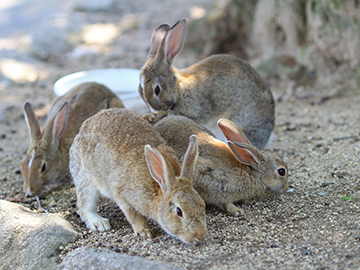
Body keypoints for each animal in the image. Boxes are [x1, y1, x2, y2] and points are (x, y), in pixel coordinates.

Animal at [69, 108, 207, 245]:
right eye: (179, 211)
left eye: (202, 204)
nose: (200, 236)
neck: (160, 188)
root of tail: (82, 130)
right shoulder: (123, 194)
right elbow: (133, 215)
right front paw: (144, 231)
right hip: (86, 180)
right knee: (84, 207)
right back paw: (100, 223)